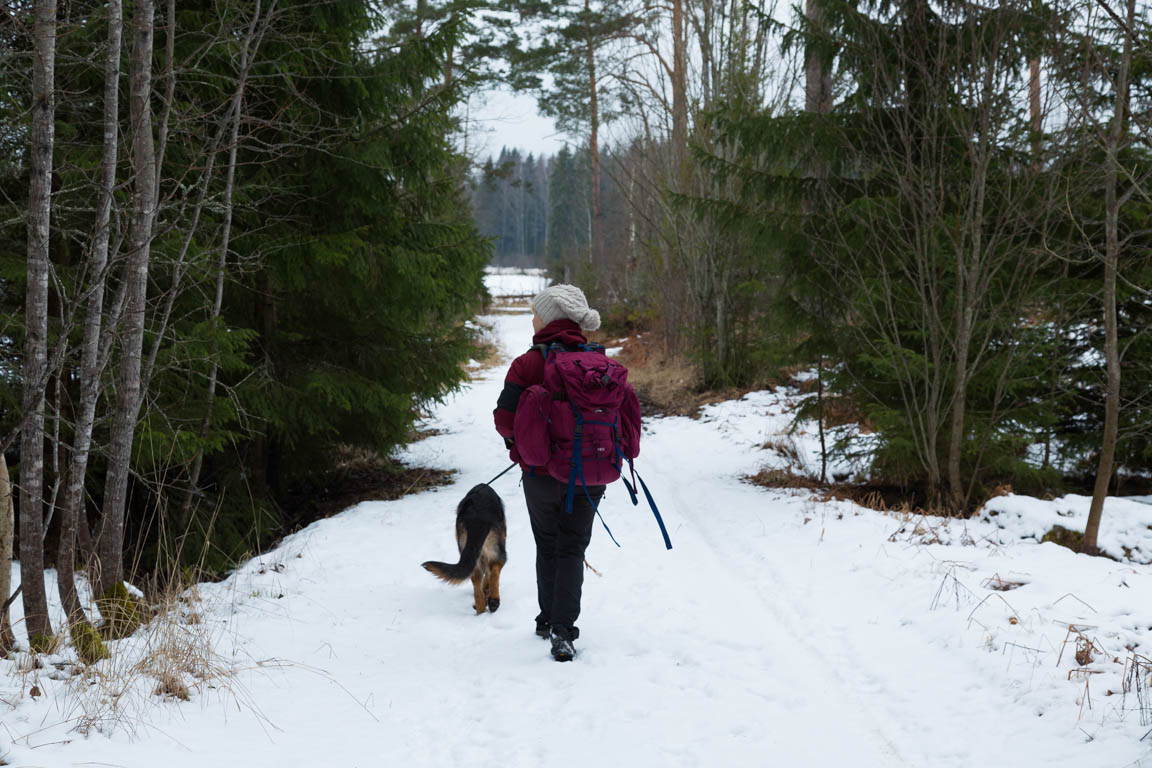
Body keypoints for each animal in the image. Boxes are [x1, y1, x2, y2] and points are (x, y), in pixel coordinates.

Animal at [421, 483, 506, 617]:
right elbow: (489, 574)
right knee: (495, 569)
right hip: (497, 550)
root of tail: (477, 517)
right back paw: (493, 601)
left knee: (477, 584)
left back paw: (481, 609)